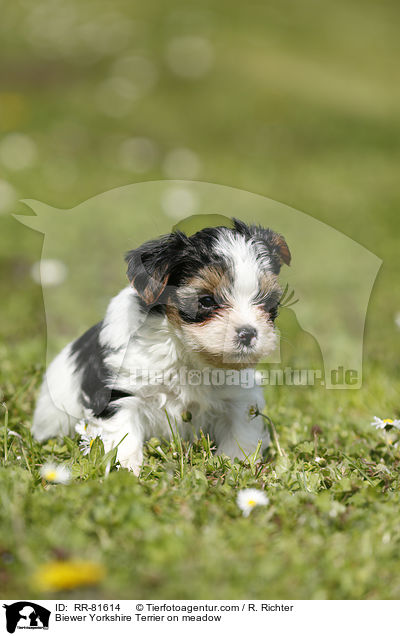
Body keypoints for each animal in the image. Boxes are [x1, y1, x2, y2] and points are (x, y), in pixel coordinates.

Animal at [32, 219, 290, 472]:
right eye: (206, 301)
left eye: (269, 303)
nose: (248, 333)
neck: (185, 351)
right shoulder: (121, 388)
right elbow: (122, 432)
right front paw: (125, 467)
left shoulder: (238, 397)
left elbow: (241, 431)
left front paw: (238, 463)